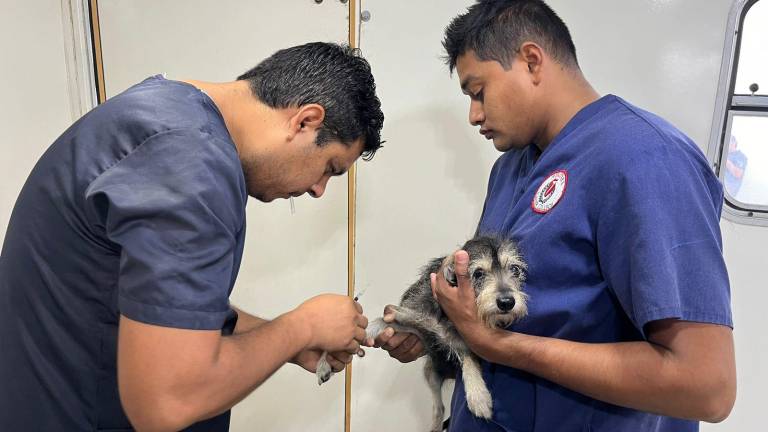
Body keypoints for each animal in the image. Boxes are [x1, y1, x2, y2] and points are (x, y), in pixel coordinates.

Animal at [314, 236, 528, 432]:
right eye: (478, 273)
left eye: (515, 270)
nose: (507, 302)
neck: (443, 315)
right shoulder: (413, 323)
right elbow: (376, 322)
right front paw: (327, 360)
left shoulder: (470, 338)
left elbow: (470, 359)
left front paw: (478, 396)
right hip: (430, 373)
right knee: (439, 408)